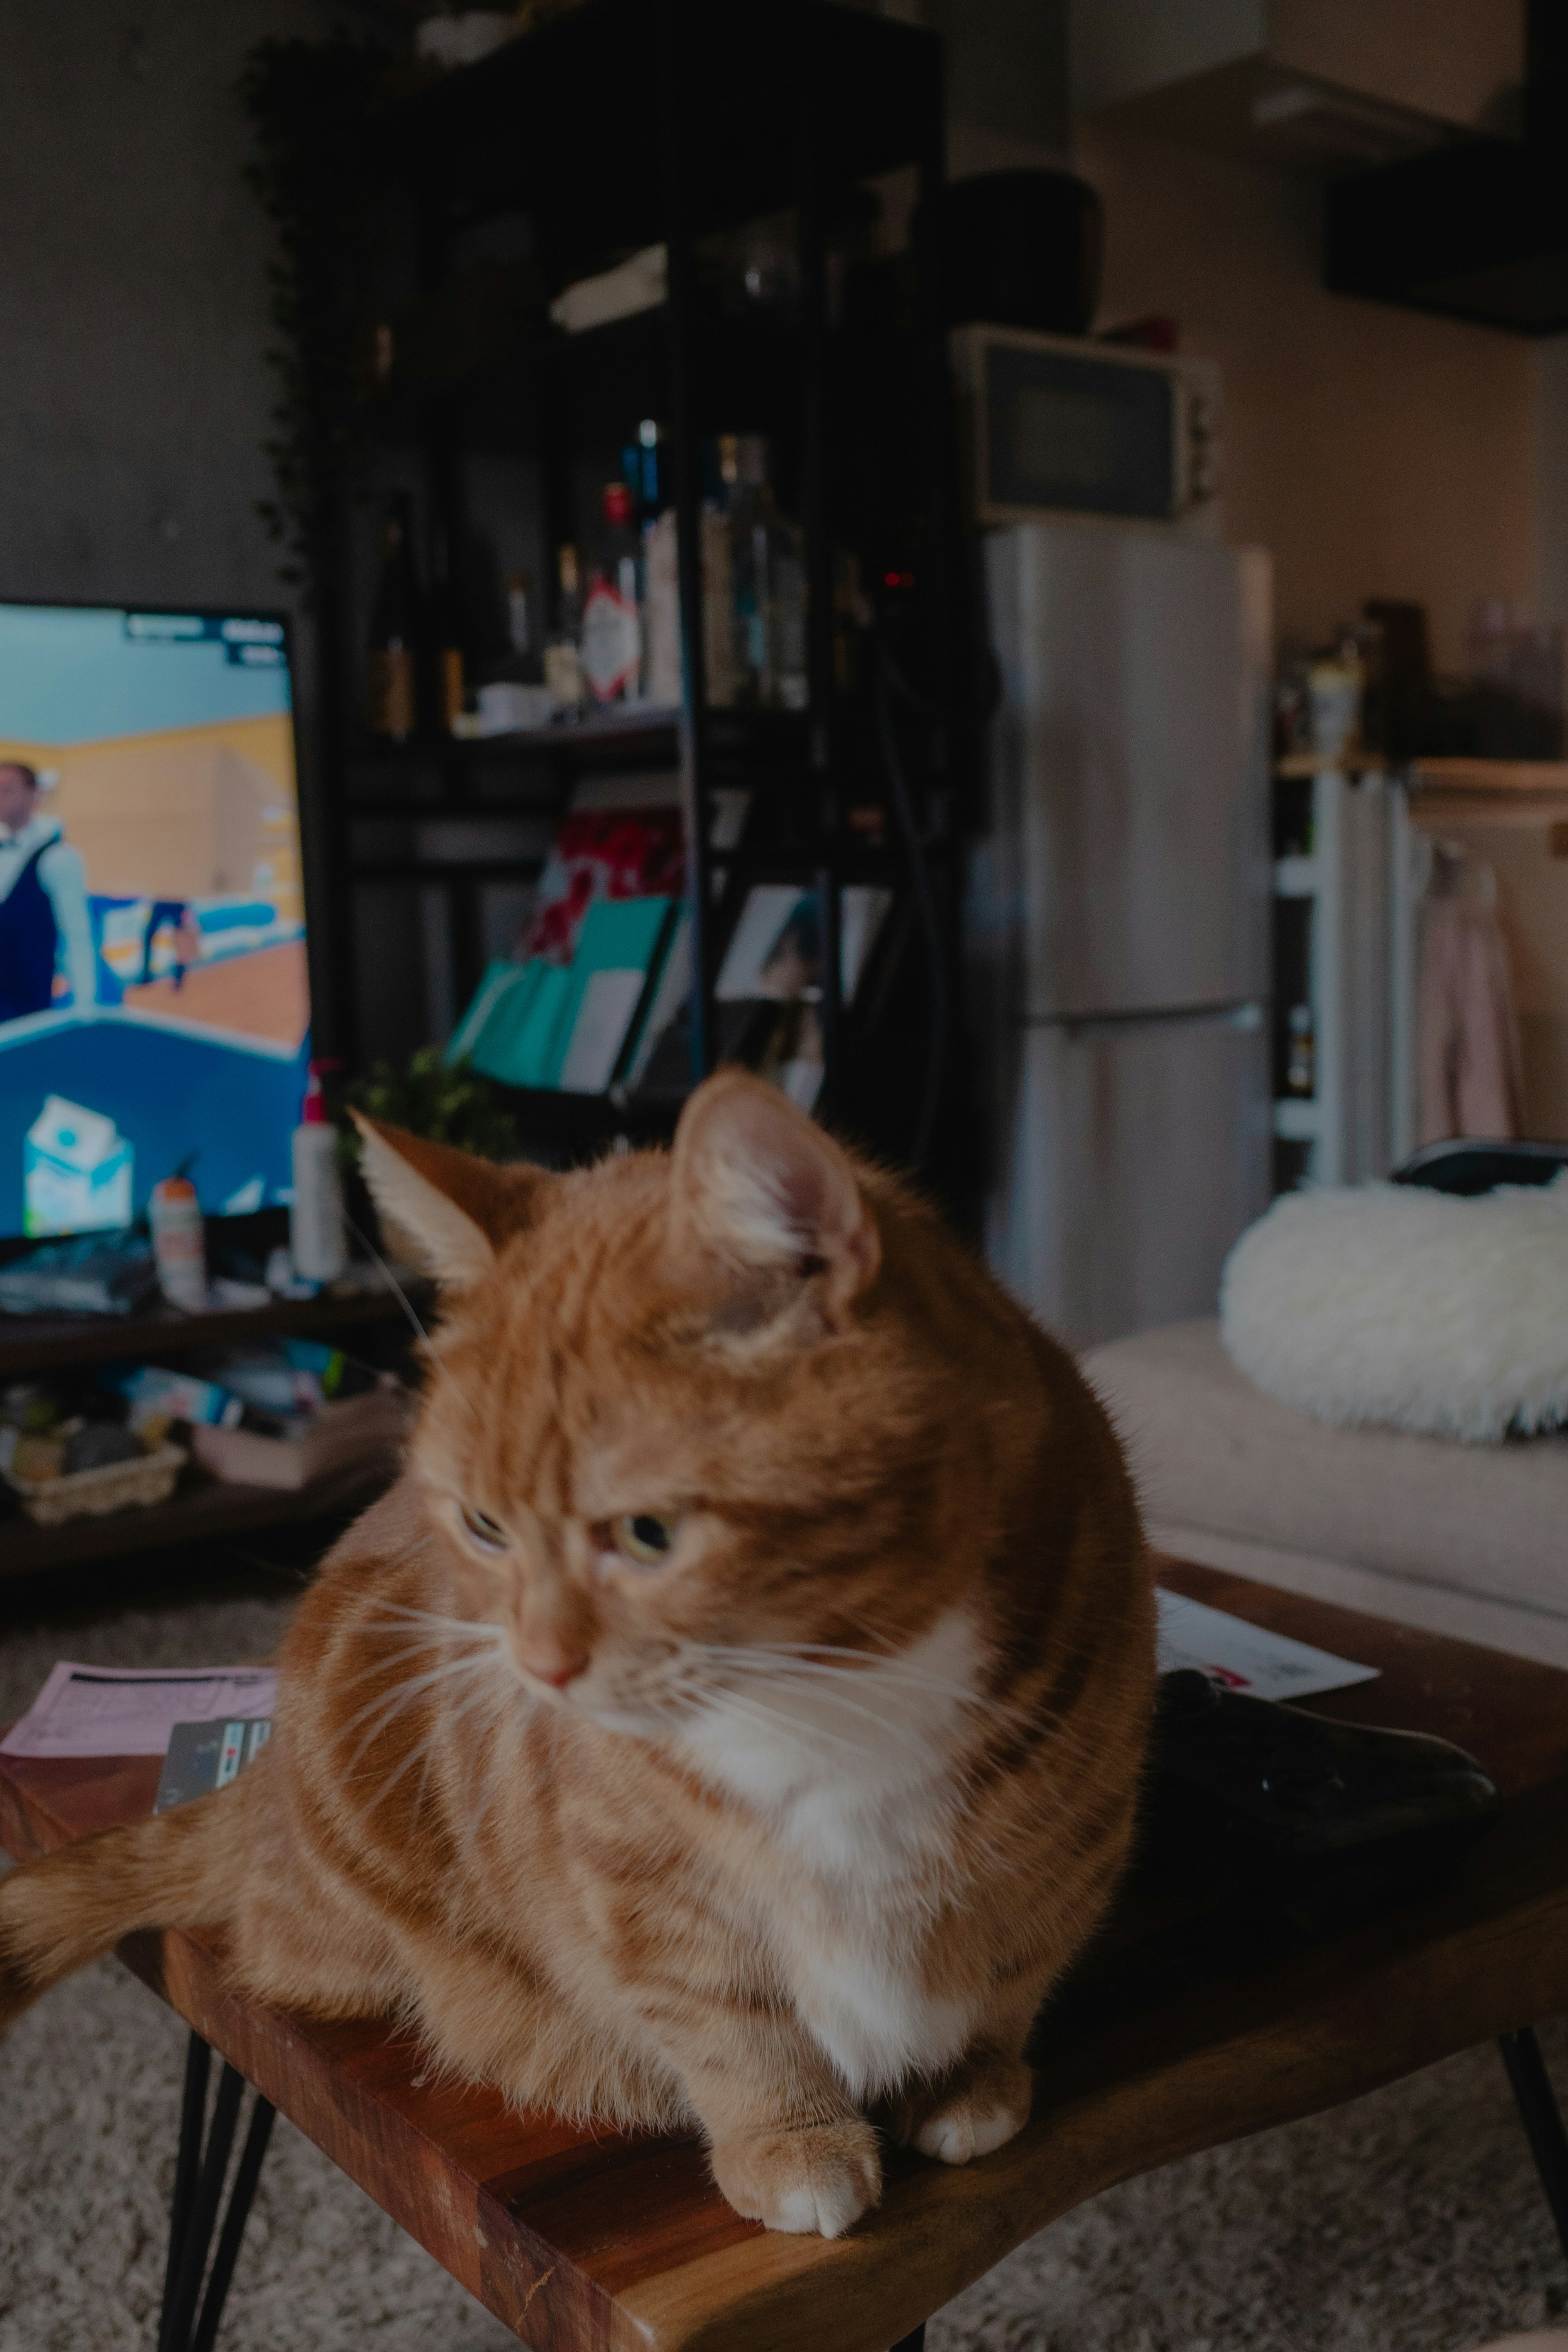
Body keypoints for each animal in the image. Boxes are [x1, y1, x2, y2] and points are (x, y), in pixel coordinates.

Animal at [0, 1077, 1152, 2230]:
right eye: (485, 1524)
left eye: (647, 1534)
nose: (541, 1669)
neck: (826, 1697)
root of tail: (265, 1767)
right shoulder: (639, 1884)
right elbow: (729, 2021)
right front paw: (792, 2139)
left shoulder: (1076, 1836)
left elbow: (1011, 1968)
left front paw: (967, 2079)